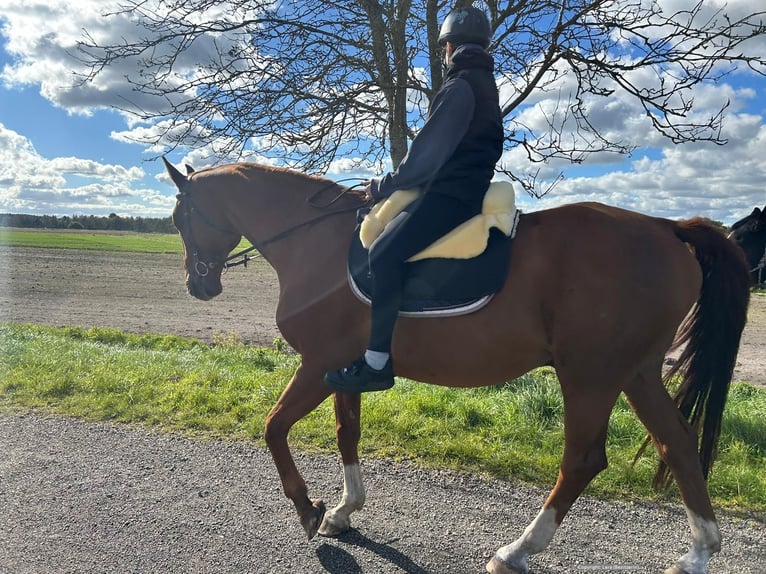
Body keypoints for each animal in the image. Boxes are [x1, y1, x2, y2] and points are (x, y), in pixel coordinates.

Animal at [164, 160, 752, 574]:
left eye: (180, 218)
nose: (197, 284)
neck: (315, 241)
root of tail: (666, 226)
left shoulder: (317, 364)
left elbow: (275, 428)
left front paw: (309, 509)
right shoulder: (342, 369)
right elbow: (346, 432)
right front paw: (343, 512)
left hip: (590, 376)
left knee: (583, 460)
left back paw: (517, 550)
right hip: (636, 373)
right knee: (677, 443)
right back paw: (699, 551)